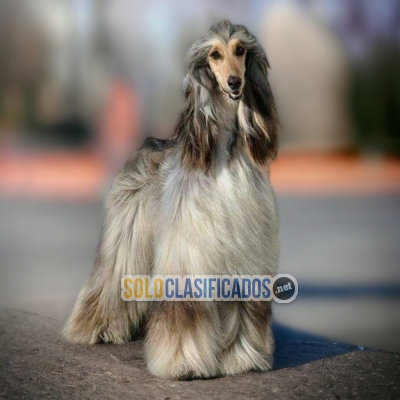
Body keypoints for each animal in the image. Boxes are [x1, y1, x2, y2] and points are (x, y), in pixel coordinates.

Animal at [64, 20, 280, 380]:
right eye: (215, 55)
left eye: (240, 50)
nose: (235, 82)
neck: (223, 153)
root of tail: (146, 143)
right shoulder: (188, 250)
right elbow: (185, 309)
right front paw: (184, 363)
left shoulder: (241, 249)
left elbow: (241, 308)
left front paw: (242, 358)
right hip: (126, 238)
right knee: (109, 280)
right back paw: (94, 329)